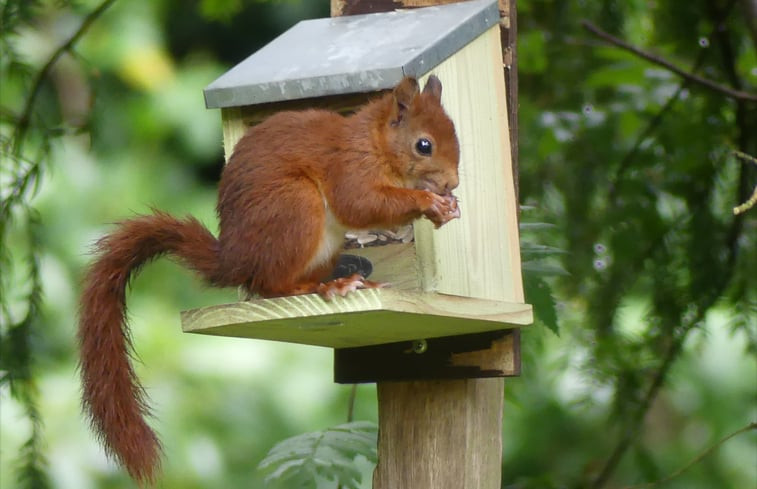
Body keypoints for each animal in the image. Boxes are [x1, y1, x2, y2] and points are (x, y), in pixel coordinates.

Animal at [77, 76, 458, 484]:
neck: (374, 145)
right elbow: (360, 205)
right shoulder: (349, 170)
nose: (452, 183)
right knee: (271, 287)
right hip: (295, 207)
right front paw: (428, 202)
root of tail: (234, 259)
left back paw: (349, 283)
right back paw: (324, 287)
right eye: (423, 145)